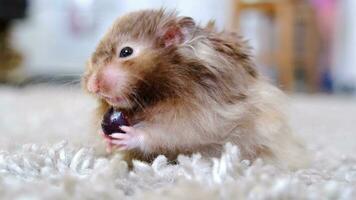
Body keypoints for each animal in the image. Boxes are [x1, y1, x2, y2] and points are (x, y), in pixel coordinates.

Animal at [82, 9, 308, 169]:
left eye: (126, 51)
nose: (92, 85)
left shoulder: (202, 116)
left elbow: (163, 132)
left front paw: (127, 136)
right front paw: (107, 140)